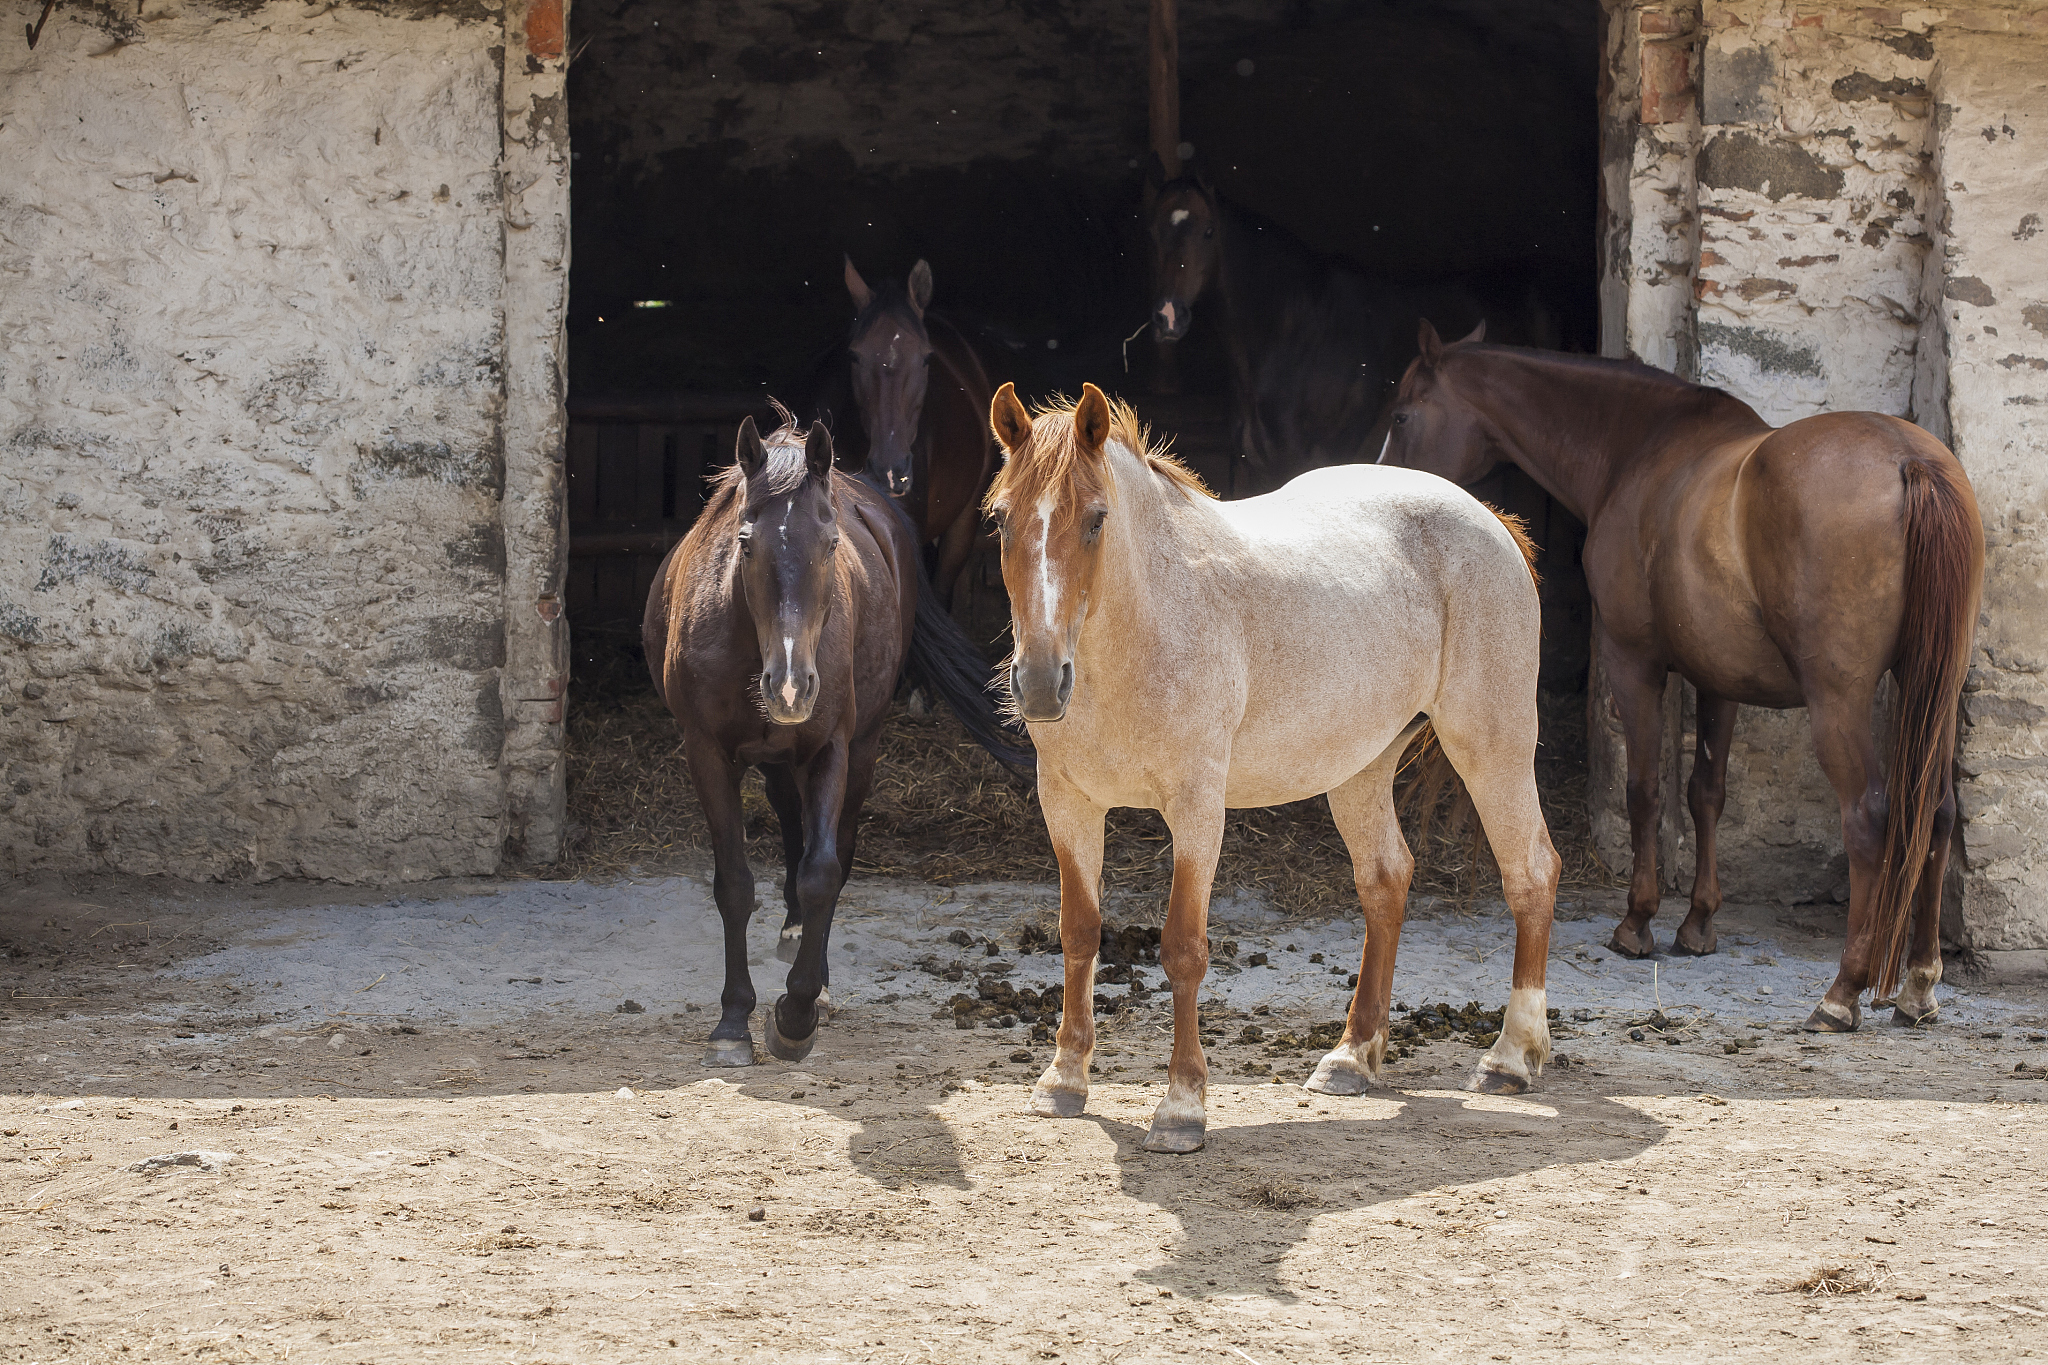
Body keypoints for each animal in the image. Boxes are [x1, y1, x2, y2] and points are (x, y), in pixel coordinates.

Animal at [644, 407, 1028, 1068]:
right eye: (744, 542)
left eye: (830, 544)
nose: (791, 686)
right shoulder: (707, 753)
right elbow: (735, 884)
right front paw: (733, 1020)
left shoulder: (832, 750)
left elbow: (823, 870)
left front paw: (797, 1013)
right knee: (788, 819)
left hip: (862, 747)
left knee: (832, 850)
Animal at [985, 380, 1560, 1153]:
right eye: (1001, 518)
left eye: (1097, 519)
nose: (1043, 683)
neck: (1149, 623)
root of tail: (1489, 520)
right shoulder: (1068, 801)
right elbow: (1080, 931)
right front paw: (1064, 1078)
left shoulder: (1197, 807)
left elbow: (1184, 947)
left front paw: (1182, 1106)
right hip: (1360, 768)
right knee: (1387, 881)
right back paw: (1352, 1056)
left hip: (1491, 747)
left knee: (1530, 873)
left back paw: (1510, 1057)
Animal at [1379, 322, 1985, 1032]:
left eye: (1401, 414)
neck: (1639, 450)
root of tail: (1911, 461)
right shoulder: (1718, 677)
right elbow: (1705, 794)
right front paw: (1697, 924)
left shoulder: (1634, 662)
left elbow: (1645, 791)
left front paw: (1637, 923)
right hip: (1931, 686)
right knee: (1937, 813)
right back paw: (1919, 983)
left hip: (1840, 700)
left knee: (1869, 818)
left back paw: (1842, 993)